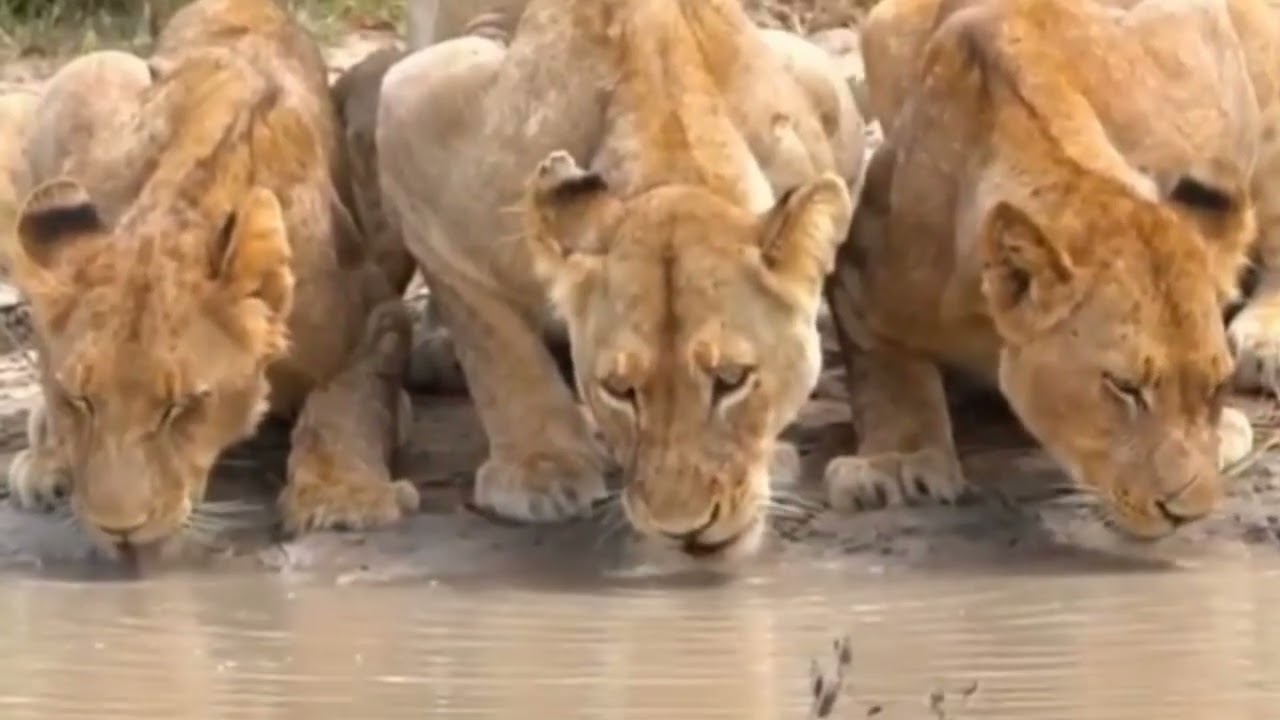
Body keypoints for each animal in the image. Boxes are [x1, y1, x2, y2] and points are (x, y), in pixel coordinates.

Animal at [4, 0, 419, 559]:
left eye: (181, 407)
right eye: (81, 400)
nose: (119, 530)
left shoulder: (378, 313)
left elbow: (347, 403)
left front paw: (342, 498)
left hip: (389, 81)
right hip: (87, 75)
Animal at [377, 0, 865, 560]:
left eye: (732, 379)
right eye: (619, 389)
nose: (684, 531)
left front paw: (775, 453)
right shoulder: (412, 110)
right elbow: (496, 345)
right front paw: (542, 471)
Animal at [823, 0, 1268, 539]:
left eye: (1217, 384)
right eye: (1124, 387)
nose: (1191, 514)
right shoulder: (859, 269)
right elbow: (886, 376)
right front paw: (899, 462)